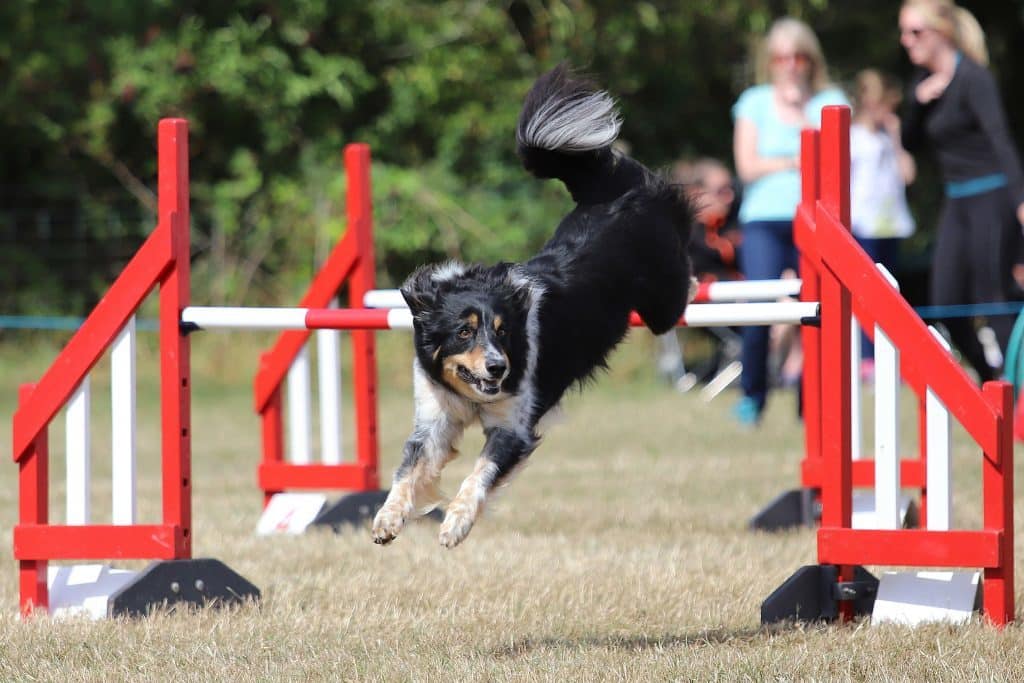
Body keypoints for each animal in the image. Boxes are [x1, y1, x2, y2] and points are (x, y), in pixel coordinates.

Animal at [370, 63, 696, 548]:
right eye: (463, 331)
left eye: (503, 331)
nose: (497, 368)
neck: (472, 395)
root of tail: (609, 192)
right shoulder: (435, 418)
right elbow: (409, 469)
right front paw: (387, 519)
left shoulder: (514, 426)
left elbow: (480, 474)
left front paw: (455, 524)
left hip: (661, 303)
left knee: (680, 284)